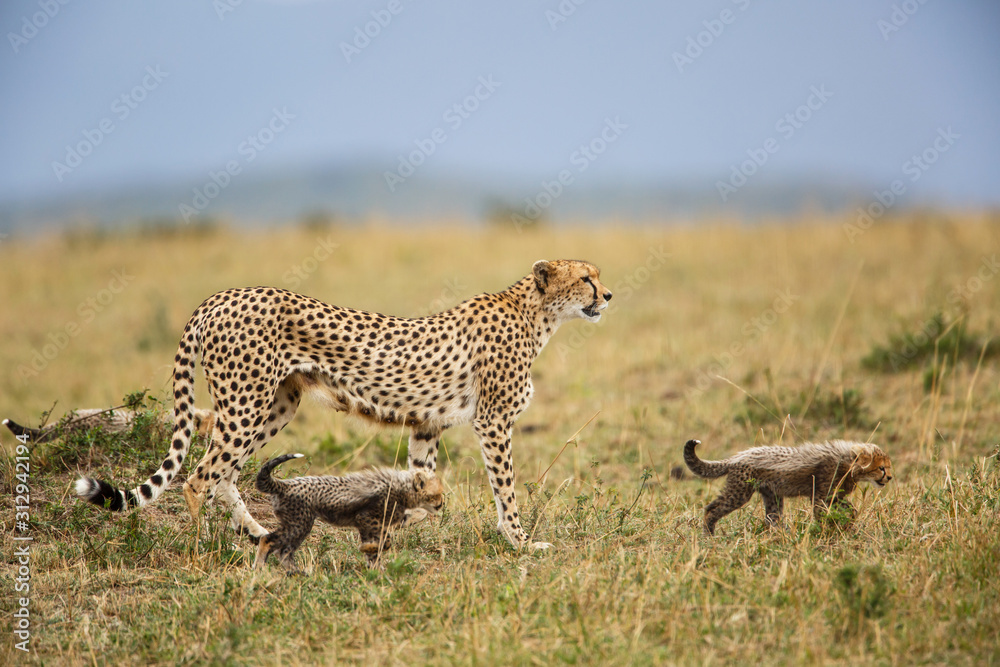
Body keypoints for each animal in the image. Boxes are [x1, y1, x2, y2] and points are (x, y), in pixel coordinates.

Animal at [74, 259, 612, 550]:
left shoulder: (427, 424)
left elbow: (423, 482)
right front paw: (521, 541)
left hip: (275, 405)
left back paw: (256, 533)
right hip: (247, 402)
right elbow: (506, 490)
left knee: (224, 469)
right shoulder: (494, 422)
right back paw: (204, 547)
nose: (607, 294)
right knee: (199, 476)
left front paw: (405, 527)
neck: (536, 314)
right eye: (586, 278)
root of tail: (222, 295)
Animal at [253, 453, 444, 571]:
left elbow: (378, 548)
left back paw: (297, 574)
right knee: (268, 540)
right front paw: (368, 551)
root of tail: (284, 484)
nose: (442, 503)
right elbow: (386, 542)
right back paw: (260, 569)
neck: (402, 488)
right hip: (299, 524)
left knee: (285, 551)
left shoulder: (368, 525)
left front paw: (374, 567)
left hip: (298, 525)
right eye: (437, 494)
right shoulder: (366, 518)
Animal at [683, 438, 893, 535]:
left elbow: (850, 509)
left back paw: (779, 536)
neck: (848, 461)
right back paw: (708, 536)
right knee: (712, 509)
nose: (890, 477)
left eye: (887, 467)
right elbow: (823, 515)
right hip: (740, 492)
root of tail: (738, 456)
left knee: (771, 519)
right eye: (881, 468)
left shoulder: (833, 496)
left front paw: (847, 524)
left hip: (772, 497)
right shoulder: (820, 497)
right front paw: (828, 531)